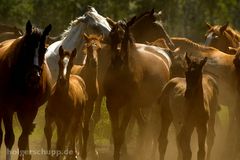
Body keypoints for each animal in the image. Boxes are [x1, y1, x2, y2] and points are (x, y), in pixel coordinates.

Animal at [0, 20, 52, 159]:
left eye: (44, 49)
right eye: (26, 47)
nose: (34, 76)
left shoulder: (31, 109)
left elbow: (22, 140)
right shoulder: (7, 109)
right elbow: (10, 138)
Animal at [104, 15, 172, 160]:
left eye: (125, 36)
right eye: (111, 35)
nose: (117, 55)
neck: (121, 72)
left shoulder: (128, 106)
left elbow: (121, 135)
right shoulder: (111, 104)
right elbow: (116, 133)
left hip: (154, 106)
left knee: (154, 130)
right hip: (139, 107)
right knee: (144, 125)